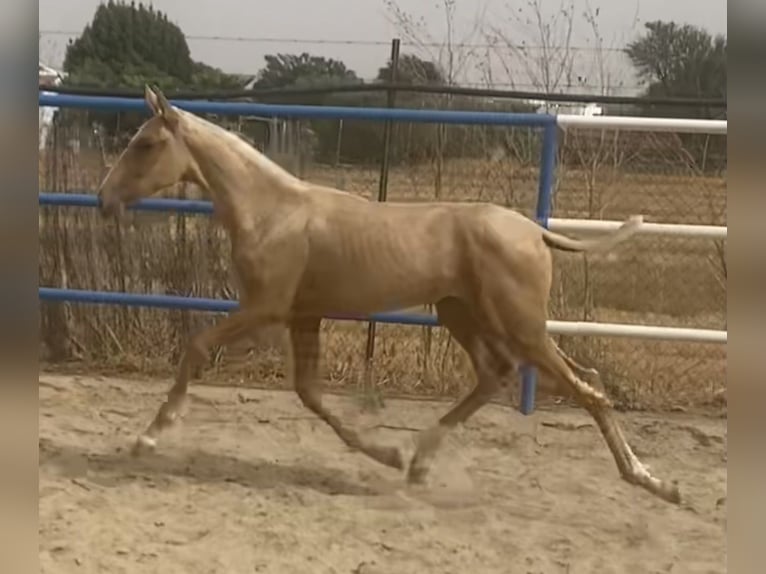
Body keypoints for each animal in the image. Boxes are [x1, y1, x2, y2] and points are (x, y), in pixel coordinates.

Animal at [94, 85, 680, 504]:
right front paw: (387, 455)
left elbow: (197, 347)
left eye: (146, 144)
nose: (103, 199)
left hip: (519, 324)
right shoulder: (303, 316)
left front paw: (149, 437)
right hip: (464, 315)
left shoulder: (265, 309)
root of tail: (535, 231)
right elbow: (310, 394)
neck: (273, 211)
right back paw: (418, 461)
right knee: (506, 376)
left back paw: (654, 482)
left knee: (588, 388)